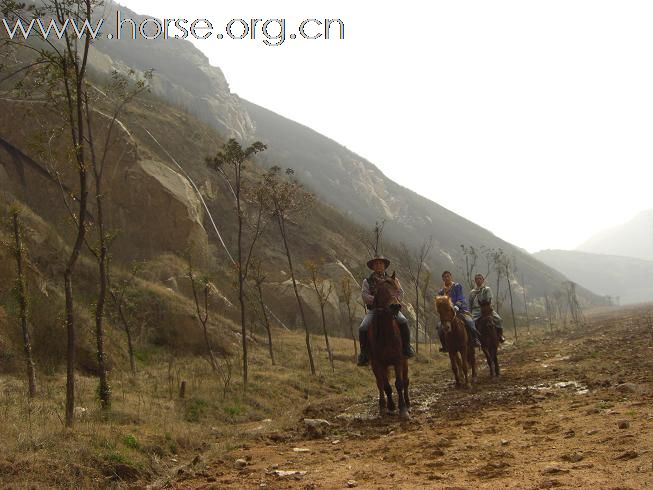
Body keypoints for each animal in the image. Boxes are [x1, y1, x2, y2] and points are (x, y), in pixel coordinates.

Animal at [366, 274, 408, 420]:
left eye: (396, 288)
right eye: (381, 291)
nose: (395, 306)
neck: (386, 334)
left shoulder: (398, 360)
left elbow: (399, 384)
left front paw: (403, 409)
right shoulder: (379, 363)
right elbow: (386, 386)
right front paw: (390, 406)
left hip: (405, 361)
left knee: (406, 380)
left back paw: (408, 402)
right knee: (380, 384)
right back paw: (382, 406)